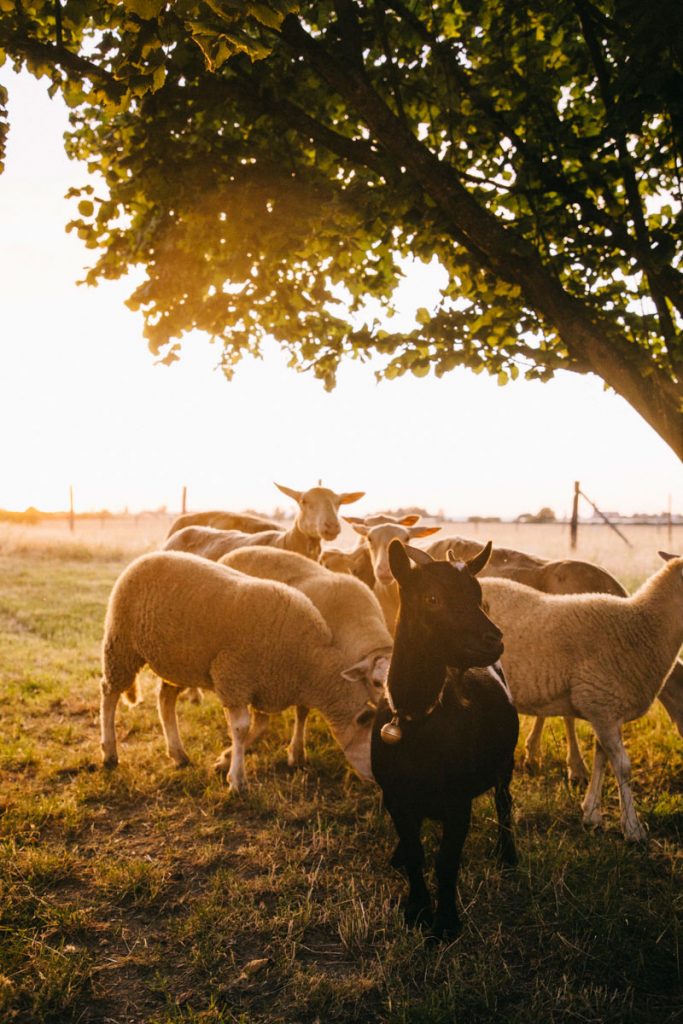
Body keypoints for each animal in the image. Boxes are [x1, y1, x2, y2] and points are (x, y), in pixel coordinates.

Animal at [100, 551, 377, 790]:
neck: (309, 662)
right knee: (109, 693)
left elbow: (259, 727)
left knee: (165, 699)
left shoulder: (263, 686)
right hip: (121, 645)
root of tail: (148, 555)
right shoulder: (234, 678)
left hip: (177, 660)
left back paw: (178, 754)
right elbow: (241, 729)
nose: (377, 786)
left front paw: (224, 761)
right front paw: (237, 779)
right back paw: (110, 753)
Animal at [211, 546, 392, 766]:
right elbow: (302, 711)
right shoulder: (311, 665)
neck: (360, 623)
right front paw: (296, 752)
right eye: (376, 683)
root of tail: (239, 550)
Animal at [372, 540, 518, 940]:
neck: (417, 717)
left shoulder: (458, 803)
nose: (494, 640)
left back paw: (508, 854)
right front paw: (418, 910)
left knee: (504, 802)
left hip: (505, 763)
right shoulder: (397, 797)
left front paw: (445, 924)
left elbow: (446, 862)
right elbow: (416, 854)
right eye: (432, 598)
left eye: (478, 595)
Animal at [478, 550, 683, 840]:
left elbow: (602, 758)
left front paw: (591, 813)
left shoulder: (605, 708)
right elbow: (623, 766)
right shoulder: (603, 703)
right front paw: (633, 828)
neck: (643, 627)